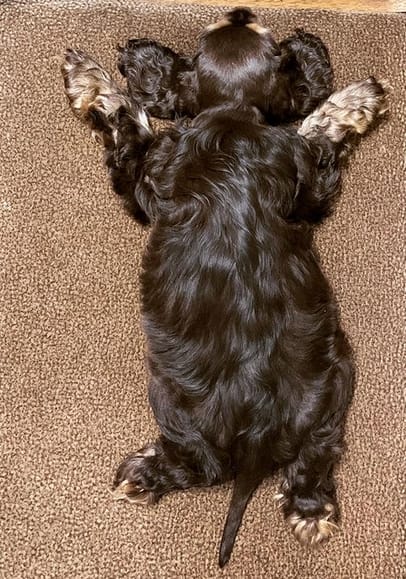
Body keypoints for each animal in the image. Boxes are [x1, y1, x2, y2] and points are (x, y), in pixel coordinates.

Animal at [62, 8, 388, 567]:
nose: (241, 11)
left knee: (201, 466)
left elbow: (128, 120)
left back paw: (143, 474)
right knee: (318, 455)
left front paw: (91, 81)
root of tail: (256, 438)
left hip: (175, 405)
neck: (233, 117)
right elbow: (312, 134)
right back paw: (312, 511)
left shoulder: (148, 171)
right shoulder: (305, 180)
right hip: (332, 388)